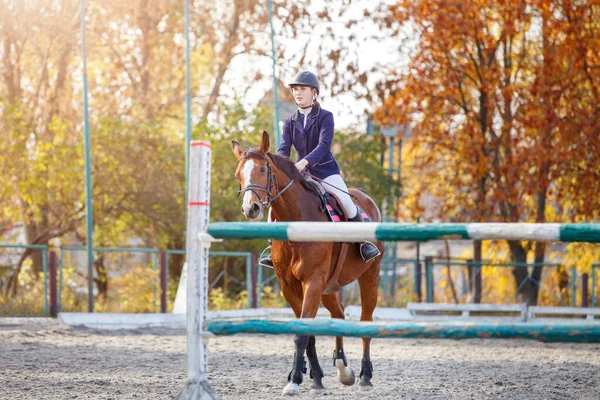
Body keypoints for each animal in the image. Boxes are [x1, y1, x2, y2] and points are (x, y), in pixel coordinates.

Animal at [231, 133, 384, 396]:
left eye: (263, 169)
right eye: (239, 174)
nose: (251, 208)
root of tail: (366, 197)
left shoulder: (312, 282)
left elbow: (303, 334)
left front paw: (294, 381)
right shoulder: (290, 287)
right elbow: (307, 333)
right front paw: (314, 378)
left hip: (368, 277)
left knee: (366, 321)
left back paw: (365, 375)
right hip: (329, 287)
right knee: (338, 316)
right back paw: (343, 369)